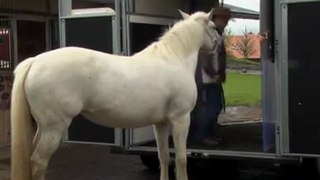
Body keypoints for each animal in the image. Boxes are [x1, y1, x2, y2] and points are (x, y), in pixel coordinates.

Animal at [9, 8, 220, 180]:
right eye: (213, 26)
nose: (218, 45)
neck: (174, 58)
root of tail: (35, 61)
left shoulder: (160, 123)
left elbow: (164, 157)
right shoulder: (180, 119)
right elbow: (182, 159)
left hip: (42, 128)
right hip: (53, 129)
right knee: (38, 162)